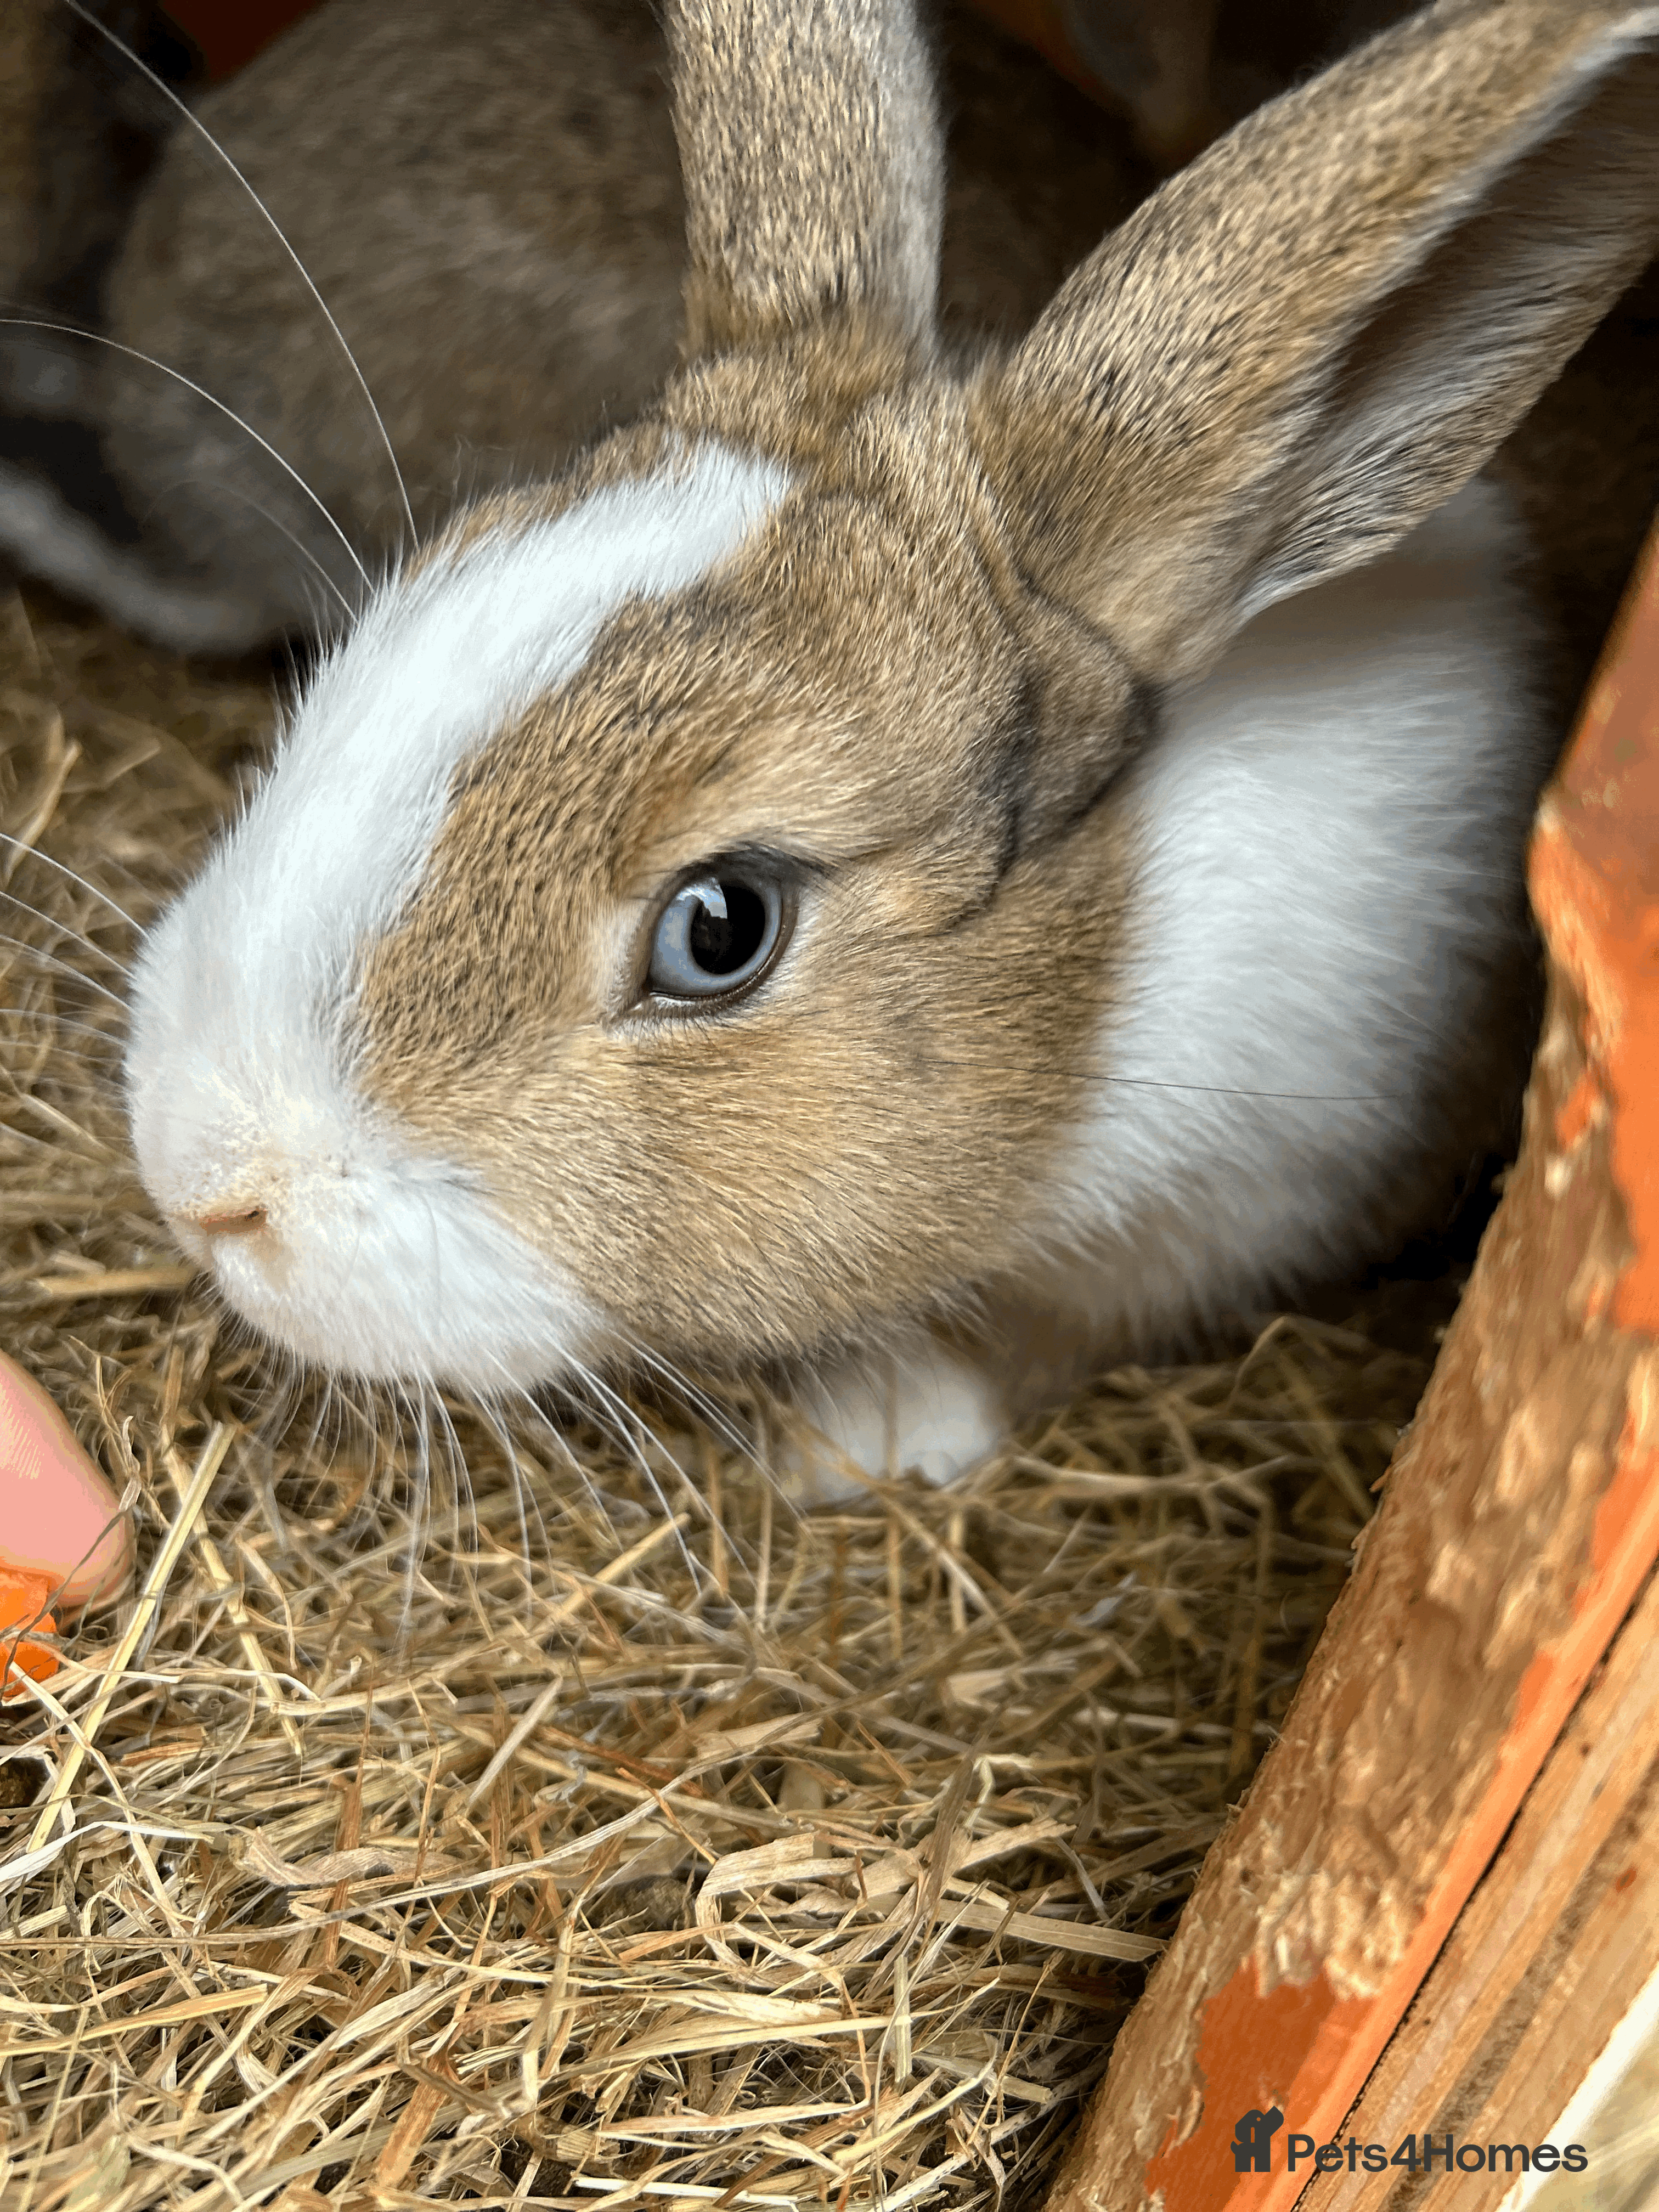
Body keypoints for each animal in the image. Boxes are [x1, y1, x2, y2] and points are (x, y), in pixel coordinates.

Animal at [117, 0, 1659, 1496]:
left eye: (720, 929)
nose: (204, 1183)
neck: (1122, 984)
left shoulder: (1270, 1191)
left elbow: (1048, 1330)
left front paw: (856, 1439)